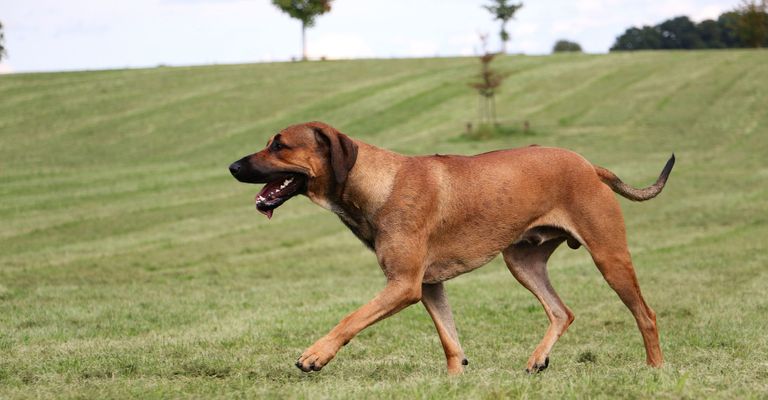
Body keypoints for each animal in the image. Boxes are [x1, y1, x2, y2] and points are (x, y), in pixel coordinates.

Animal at [226, 120, 672, 374]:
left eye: (279, 145)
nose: (232, 166)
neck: (377, 183)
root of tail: (589, 165)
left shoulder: (403, 285)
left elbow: (351, 318)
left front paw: (316, 354)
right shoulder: (428, 286)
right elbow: (449, 339)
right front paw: (455, 378)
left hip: (609, 256)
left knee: (646, 314)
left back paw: (654, 368)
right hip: (521, 260)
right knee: (562, 311)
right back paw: (538, 358)